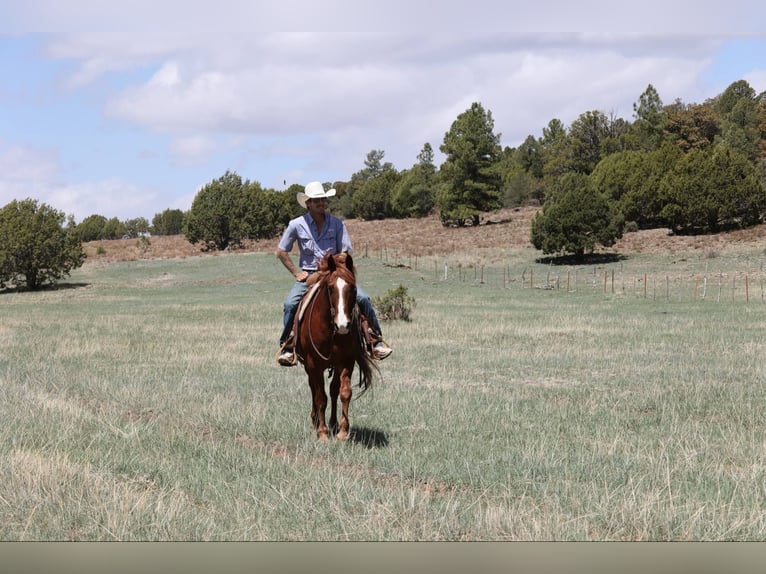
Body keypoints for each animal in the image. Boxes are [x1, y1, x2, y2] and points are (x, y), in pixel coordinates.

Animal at [295, 251, 376, 440]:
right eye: (330, 288)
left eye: (353, 288)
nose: (343, 325)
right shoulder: (313, 364)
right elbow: (320, 397)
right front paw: (322, 432)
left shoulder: (346, 362)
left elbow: (344, 393)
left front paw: (343, 431)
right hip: (309, 366)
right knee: (314, 389)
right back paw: (316, 422)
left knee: (333, 390)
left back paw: (332, 424)